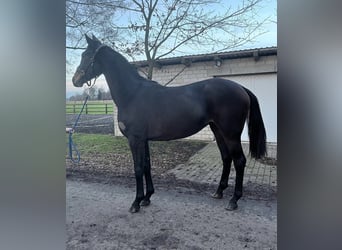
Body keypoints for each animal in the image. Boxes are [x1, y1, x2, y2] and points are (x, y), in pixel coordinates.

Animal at [72, 34, 268, 212]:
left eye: (87, 55)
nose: (75, 80)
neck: (132, 93)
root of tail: (240, 88)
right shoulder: (144, 139)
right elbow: (146, 166)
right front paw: (147, 198)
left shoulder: (135, 139)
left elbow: (137, 168)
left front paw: (136, 203)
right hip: (217, 130)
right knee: (226, 158)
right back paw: (219, 192)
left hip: (231, 134)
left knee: (239, 161)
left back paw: (234, 200)